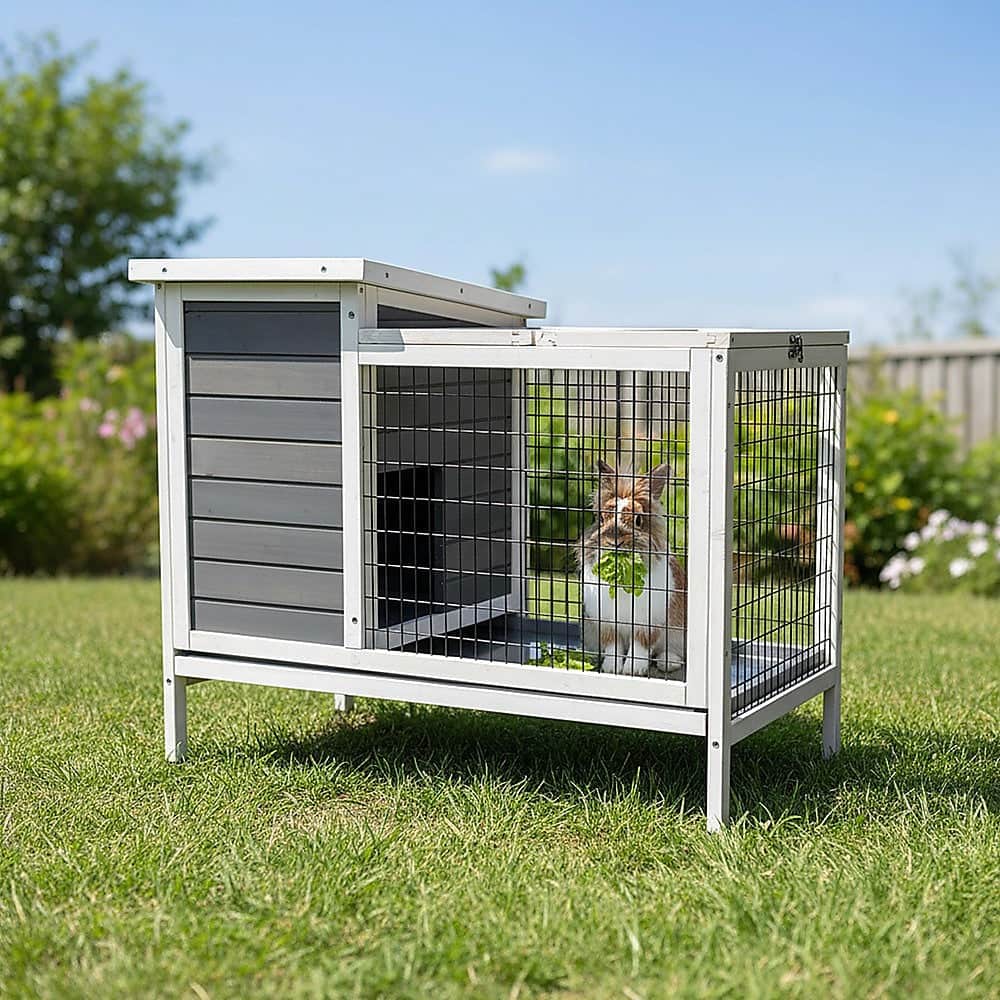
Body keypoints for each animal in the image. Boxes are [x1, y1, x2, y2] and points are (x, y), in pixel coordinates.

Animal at [580, 460, 687, 678]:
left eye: (638, 520)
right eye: (601, 519)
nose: (615, 541)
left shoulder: (646, 623)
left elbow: (640, 646)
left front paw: (633, 670)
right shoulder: (607, 623)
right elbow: (613, 646)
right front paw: (611, 668)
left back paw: (668, 662)